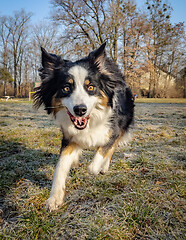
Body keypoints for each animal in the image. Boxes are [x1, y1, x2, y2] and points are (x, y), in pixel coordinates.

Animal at [33, 42, 134, 211]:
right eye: (66, 88)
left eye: (91, 87)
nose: (80, 110)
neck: (91, 120)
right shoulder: (68, 138)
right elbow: (60, 167)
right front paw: (54, 198)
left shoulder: (113, 131)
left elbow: (98, 158)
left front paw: (97, 167)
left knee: (111, 148)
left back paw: (104, 167)